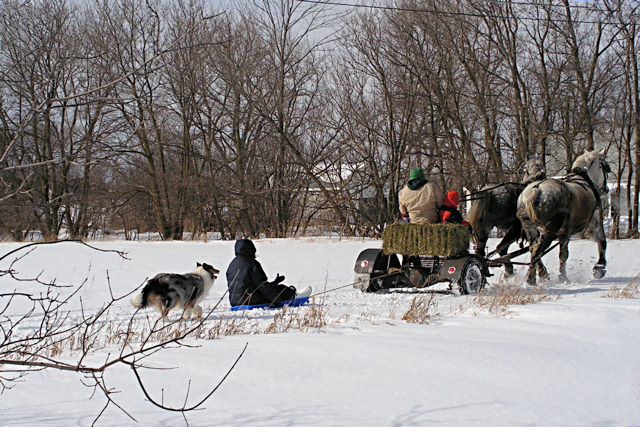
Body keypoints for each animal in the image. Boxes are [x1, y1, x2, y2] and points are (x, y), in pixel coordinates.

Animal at [516, 149, 608, 286]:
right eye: (605, 167)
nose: (606, 189)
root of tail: (534, 190)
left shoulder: (563, 233)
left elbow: (562, 255)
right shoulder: (592, 224)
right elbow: (601, 241)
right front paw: (599, 268)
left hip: (530, 227)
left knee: (533, 249)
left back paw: (534, 278)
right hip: (548, 231)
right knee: (537, 250)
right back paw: (531, 279)